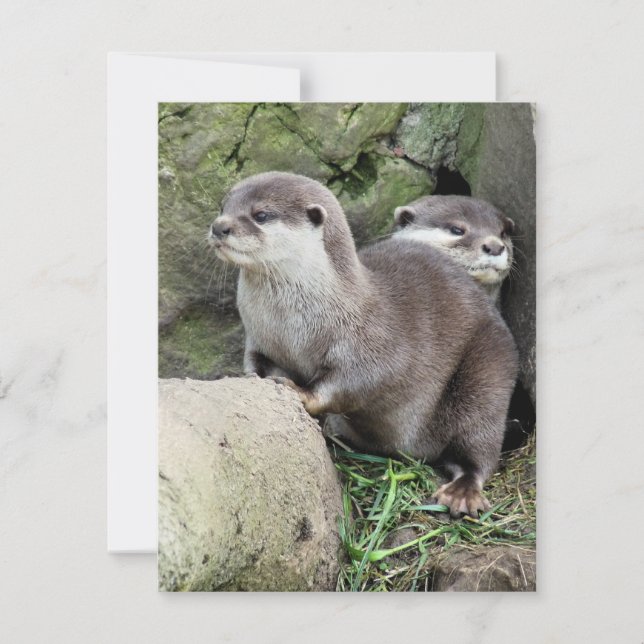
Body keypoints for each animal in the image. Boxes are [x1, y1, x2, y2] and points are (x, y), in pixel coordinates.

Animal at [209, 172, 518, 517]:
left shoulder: (374, 342)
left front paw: (301, 392)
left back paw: (461, 492)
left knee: (480, 445)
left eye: (261, 215)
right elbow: (255, 363)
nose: (219, 226)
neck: (292, 326)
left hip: (487, 371)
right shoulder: (260, 339)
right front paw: (248, 378)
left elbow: (357, 382)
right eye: (223, 207)